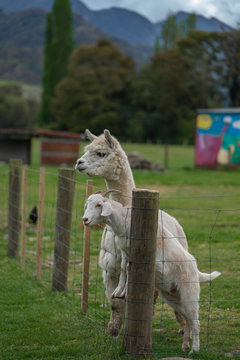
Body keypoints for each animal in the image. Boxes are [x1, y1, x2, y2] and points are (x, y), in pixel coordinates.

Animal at [83, 193, 221, 352]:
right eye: (87, 205)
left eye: (99, 205)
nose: (85, 219)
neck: (123, 220)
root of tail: (196, 269)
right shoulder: (124, 251)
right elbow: (124, 269)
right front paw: (119, 291)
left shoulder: (136, 253)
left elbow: (129, 270)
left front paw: (126, 291)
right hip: (173, 296)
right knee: (188, 319)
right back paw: (185, 346)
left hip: (189, 293)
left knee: (196, 321)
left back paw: (195, 349)